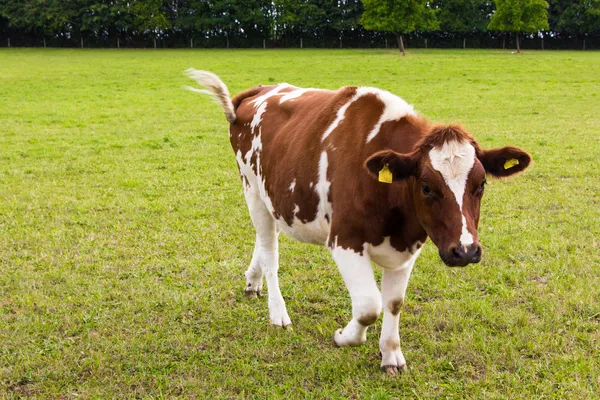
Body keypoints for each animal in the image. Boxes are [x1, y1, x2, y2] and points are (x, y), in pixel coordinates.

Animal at [185, 69, 532, 376]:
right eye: (426, 187)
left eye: (481, 184)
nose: (466, 251)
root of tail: (257, 92)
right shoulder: (345, 240)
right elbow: (368, 306)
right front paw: (343, 337)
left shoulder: (407, 248)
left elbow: (394, 303)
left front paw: (391, 355)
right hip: (252, 189)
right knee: (270, 251)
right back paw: (277, 311)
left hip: (272, 198)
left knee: (262, 240)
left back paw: (252, 281)